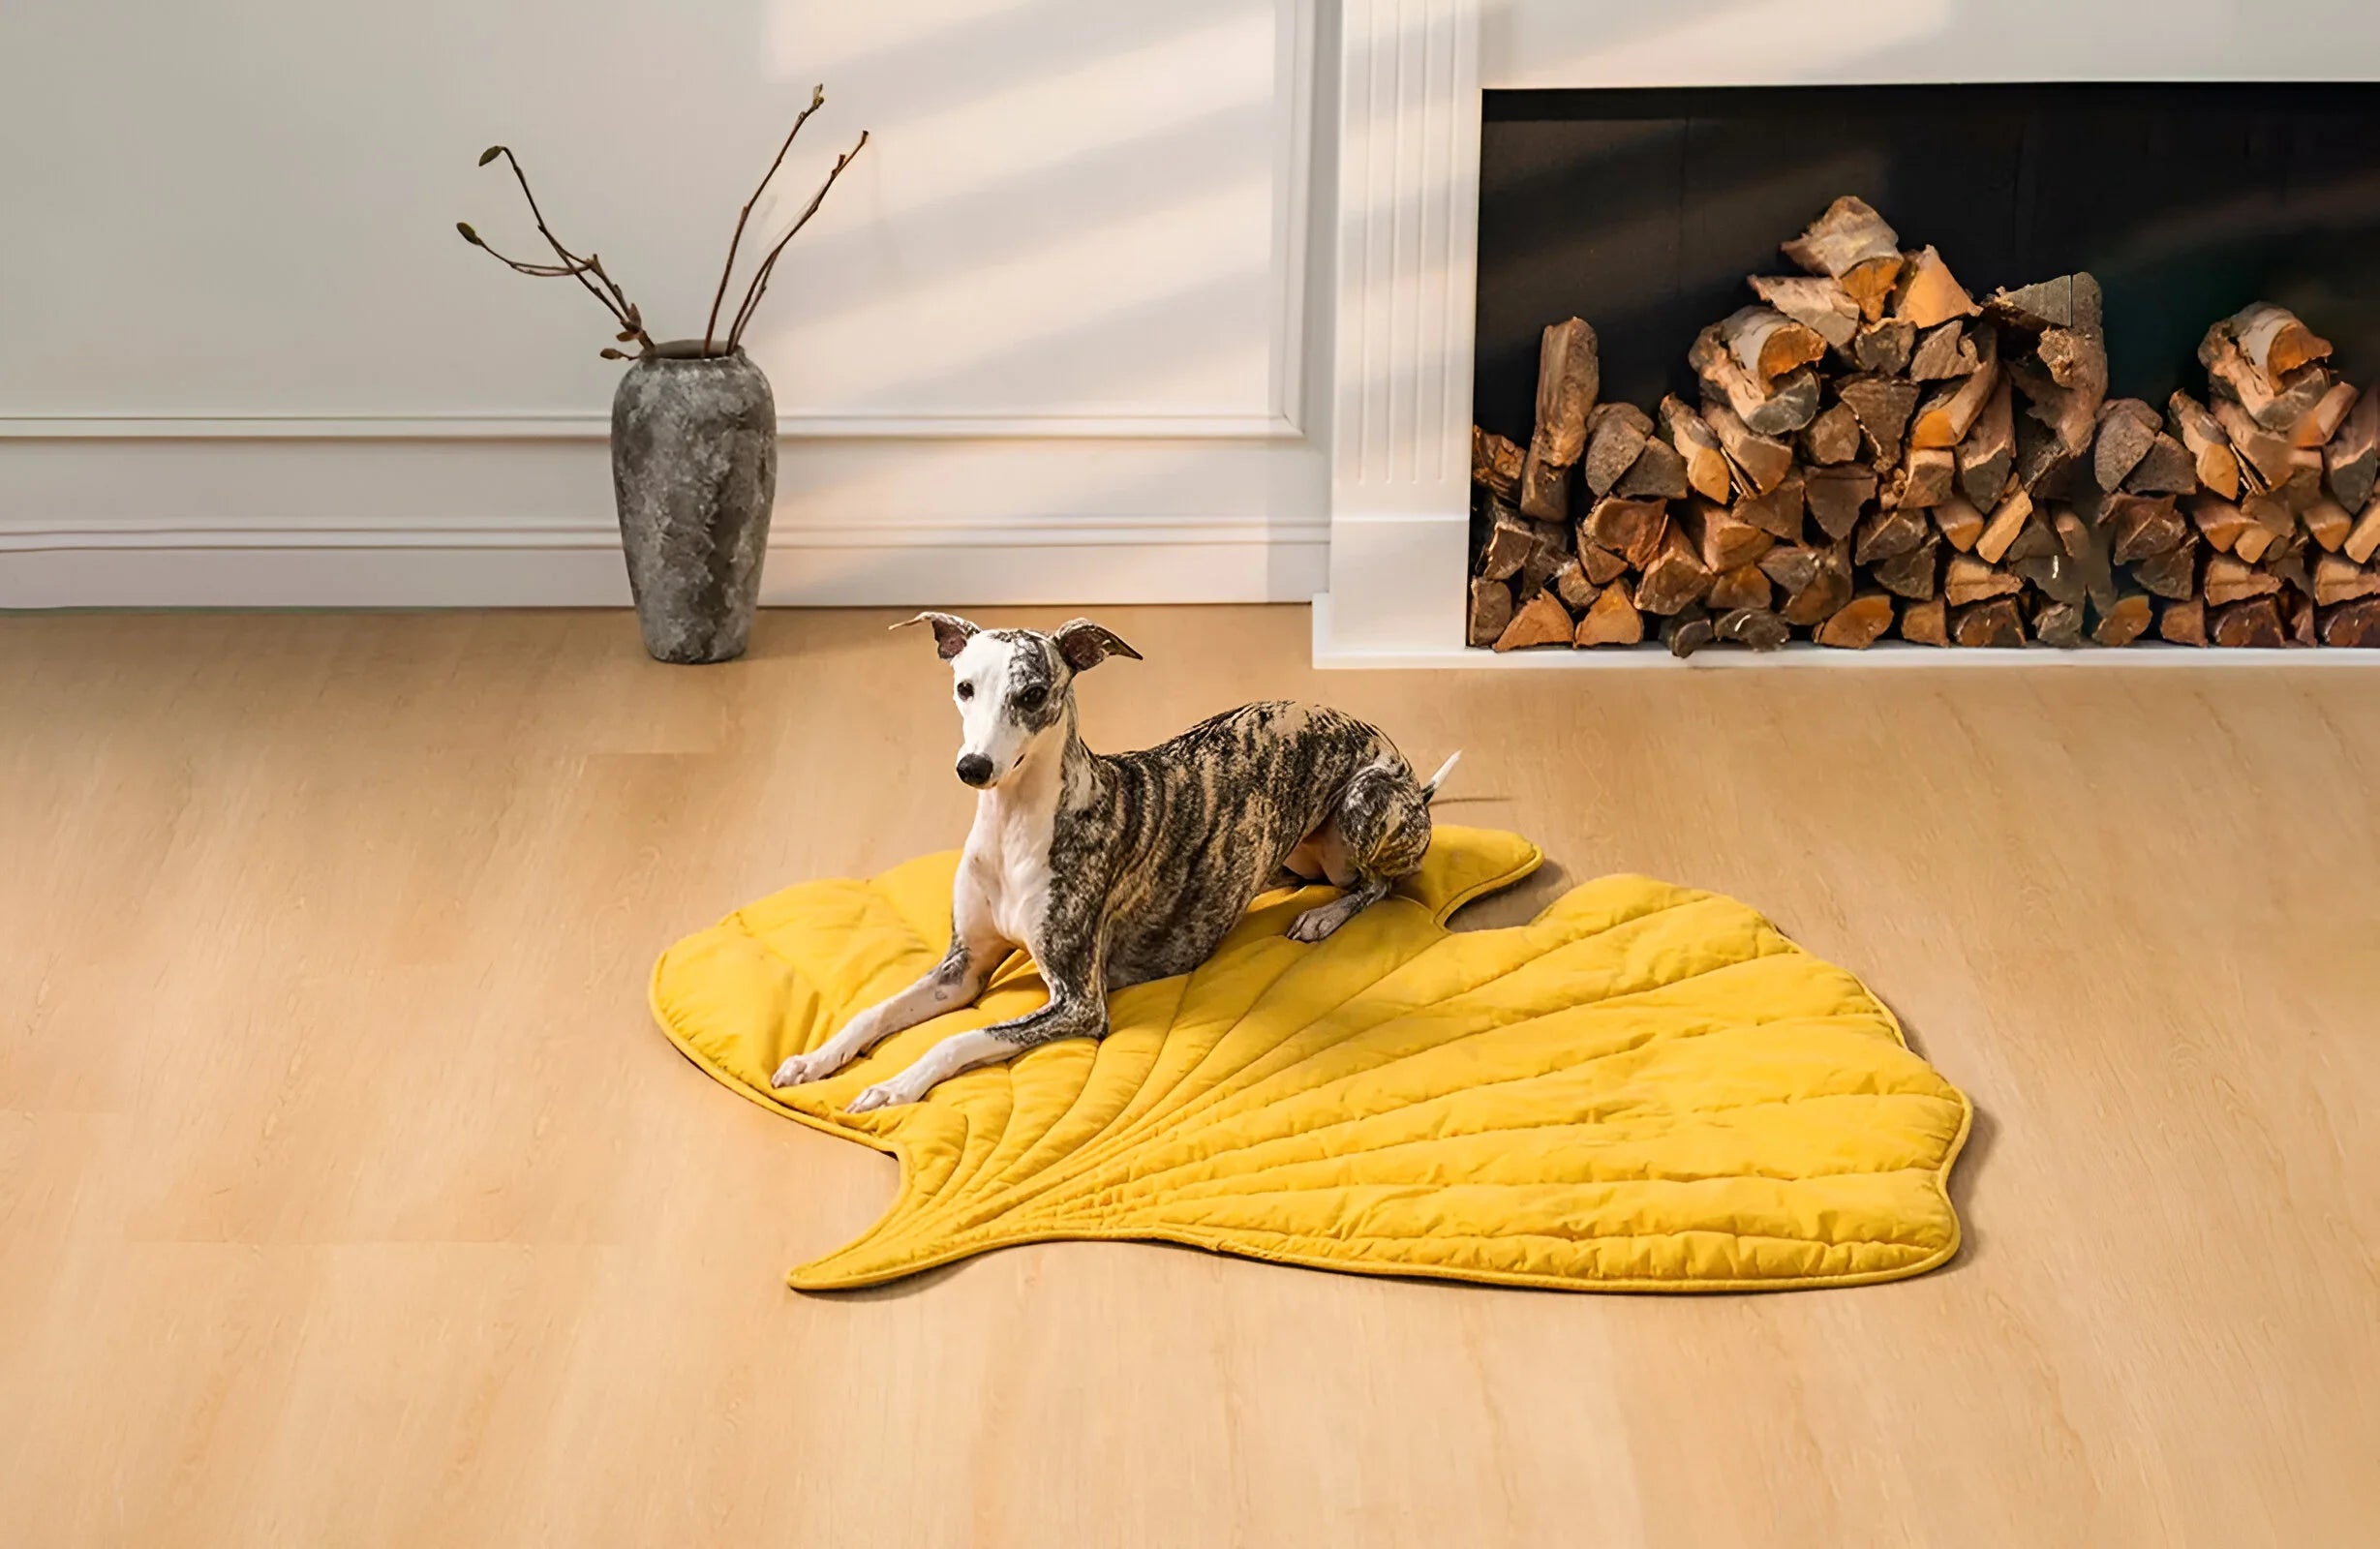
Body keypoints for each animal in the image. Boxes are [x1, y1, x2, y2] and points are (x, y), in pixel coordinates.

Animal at [771, 614, 1456, 1109]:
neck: (1015, 826)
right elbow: (876, 1010)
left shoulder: (1079, 1002)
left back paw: (1321, 917)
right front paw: (813, 1059)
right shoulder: (961, 967)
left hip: (1364, 804)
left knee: (1379, 884)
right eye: (964, 688)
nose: (973, 768)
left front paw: (893, 1086)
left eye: (1033, 694)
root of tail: (1407, 773)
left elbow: (963, 1037)